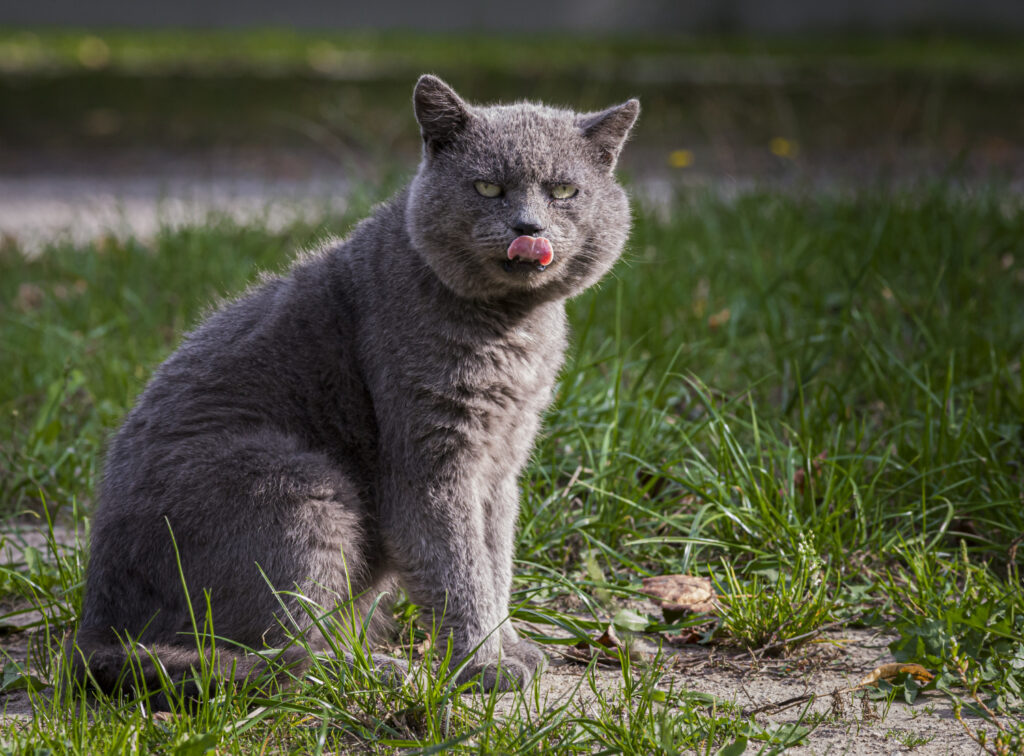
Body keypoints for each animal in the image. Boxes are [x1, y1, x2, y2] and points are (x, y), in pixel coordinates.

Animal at [68, 75, 634, 696]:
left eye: (563, 191)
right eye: (488, 187)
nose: (528, 229)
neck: (513, 331)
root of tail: (94, 627)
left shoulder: (500, 463)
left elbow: (495, 560)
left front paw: (508, 647)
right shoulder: (431, 461)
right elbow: (458, 569)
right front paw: (483, 664)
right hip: (299, 486)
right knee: (274, 654)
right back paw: (367, 672)